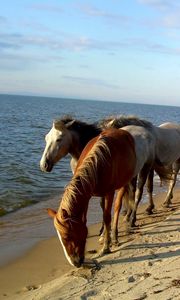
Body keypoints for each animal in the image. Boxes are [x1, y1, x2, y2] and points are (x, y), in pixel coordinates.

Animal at [47, 128, 136, 268]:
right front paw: (104, 238)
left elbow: (107, 217)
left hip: (123, 184)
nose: (75, 263)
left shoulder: (109, 193)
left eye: (67, 236)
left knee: (117, 207)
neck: (97, 164)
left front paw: (106, 247)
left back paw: (114, 236)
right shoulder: (86, 197)